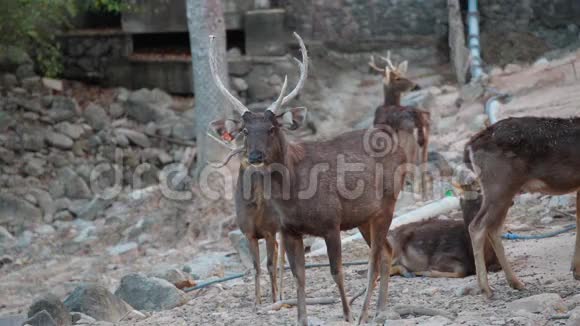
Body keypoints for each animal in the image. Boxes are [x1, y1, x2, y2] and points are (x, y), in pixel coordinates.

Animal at [208, 31, 408, 324]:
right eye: (245, 130)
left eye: (272, 128)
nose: (255, 155)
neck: (294, 193)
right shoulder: (288, 230)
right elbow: (298, 276)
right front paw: (301, 318)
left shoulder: (331, 222)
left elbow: (336, 270)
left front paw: (347, 315)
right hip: (364, 216)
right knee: (387, 251)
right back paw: (379, 310)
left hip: (387, 203)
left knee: (375, 258)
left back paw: (365, 313)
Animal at [370, 54, 432, 199]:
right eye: (397, 78)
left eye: (403, 74)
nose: (416, 86)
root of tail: (419, 118)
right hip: (426, 141)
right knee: (423, 168)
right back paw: (425, 197)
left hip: (408, 143)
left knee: (410, 170)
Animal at [462, 116, 580, 298]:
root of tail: (471, 146)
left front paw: (576, 271)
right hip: (500, 186)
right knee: (478, 226)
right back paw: (487, 288)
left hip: (503, 191)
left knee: (493, 228)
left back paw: (515, 282)